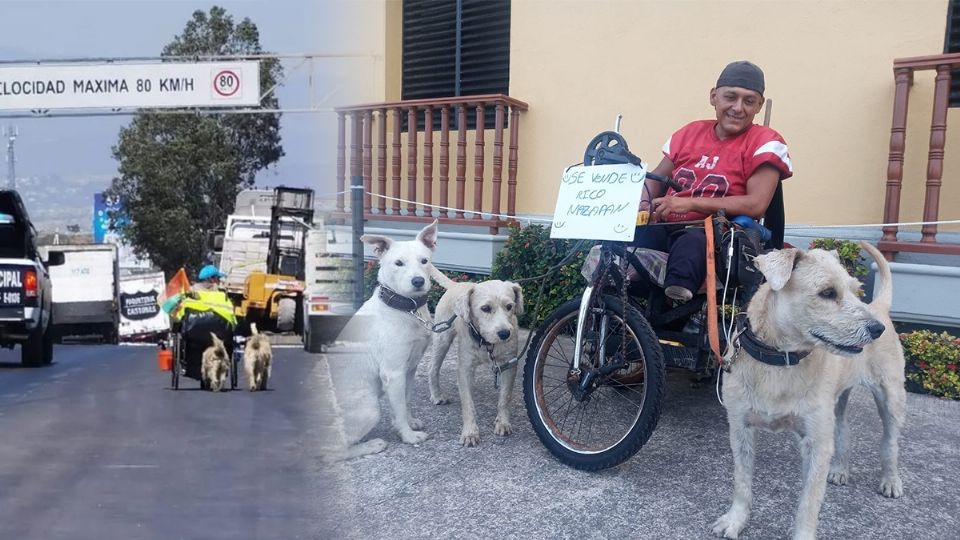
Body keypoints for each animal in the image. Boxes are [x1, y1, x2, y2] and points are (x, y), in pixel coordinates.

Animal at [326, 219, 438, 460]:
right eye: (398, 263)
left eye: (424, 261)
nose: (418, 281)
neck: (405, 309)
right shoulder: (393, 372)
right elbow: (399, 407)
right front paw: (408, 436)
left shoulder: (410, 369)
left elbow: (405, 401)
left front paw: (409, 422)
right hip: (370, 408)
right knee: (336, 450)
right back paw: (372, 445)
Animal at [430, 266, 524, 448]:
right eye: (485, 308)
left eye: (509, 306)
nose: (505, 334)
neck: (487, 343)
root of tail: (456, 284)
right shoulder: (465, 368)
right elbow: (468, 404)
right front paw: (470, 432)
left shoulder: (509, 365)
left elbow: (505, 397)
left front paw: (503, 422)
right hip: (442, 339)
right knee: (432, 368)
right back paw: (437, 395)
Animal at [712, 243, 908, 540]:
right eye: (827, 292)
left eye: (856, 290)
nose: (877, 329)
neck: (781, 360)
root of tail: (880, 309)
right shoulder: (740, 428)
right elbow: (741, 481)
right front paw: (736, 519)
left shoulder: (816, 442)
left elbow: (808, 502)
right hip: (837, 404)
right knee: (844, 428)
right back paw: (840, 469)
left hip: (891, 398)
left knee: (890, 441)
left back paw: (890, 480)